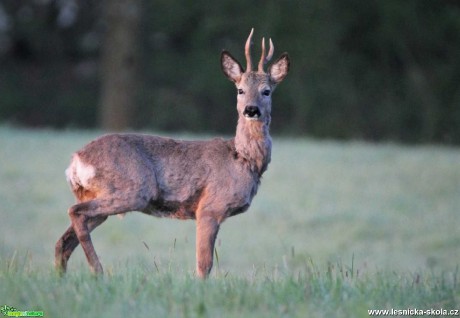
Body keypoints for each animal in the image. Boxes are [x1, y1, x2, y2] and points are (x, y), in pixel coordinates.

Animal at [55, 29, 290, 278]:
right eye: (240, 90)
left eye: (266, 91)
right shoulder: (209, 207)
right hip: (133, 189)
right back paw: (98, 271)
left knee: (63, 241)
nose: (251, 110)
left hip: (97, 196)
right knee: (74, 213)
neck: (243, 159)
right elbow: (204, 264)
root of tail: (76, 160)